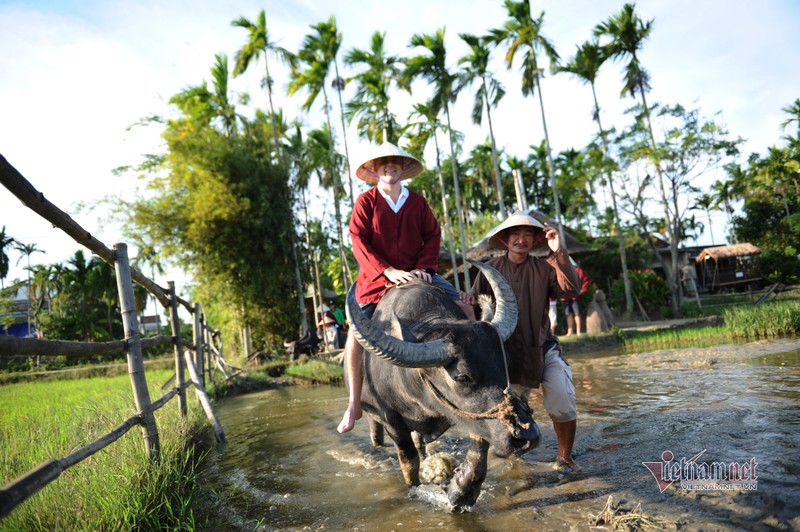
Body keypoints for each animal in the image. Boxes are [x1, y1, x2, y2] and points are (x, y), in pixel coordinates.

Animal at [346, 260, 540, 510]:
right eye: (461, 377)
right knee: (378, 436)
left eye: (504, 361)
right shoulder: (390, 418)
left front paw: (461, 491)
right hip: (371, 415)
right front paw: (416, 488)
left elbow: (479, 444)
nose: (528, 436)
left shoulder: (471, 413)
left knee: (420, 443)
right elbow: (408, 461)